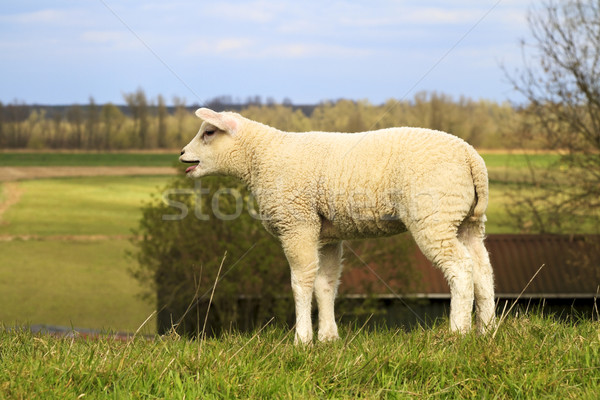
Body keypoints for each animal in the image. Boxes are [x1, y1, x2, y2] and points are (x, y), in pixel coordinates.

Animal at [179, 108, 496, 346]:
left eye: (209, 133)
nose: (182, 154)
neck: (262, 157)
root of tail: (471, 157)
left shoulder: (298, 223)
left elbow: (301, 283)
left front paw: (302, 339)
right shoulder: (327, 235)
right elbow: (325, 285)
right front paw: (328, 338)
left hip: (434, 216)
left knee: (460, 267)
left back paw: (458, 331)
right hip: (467, 220)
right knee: (482, 269)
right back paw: (487, 330)